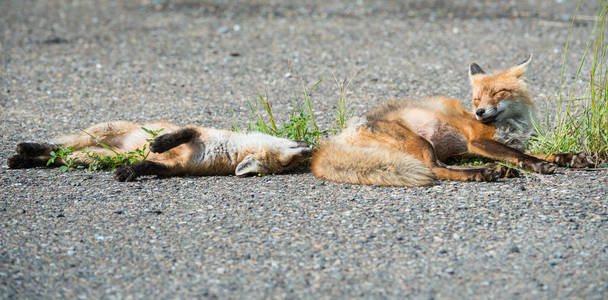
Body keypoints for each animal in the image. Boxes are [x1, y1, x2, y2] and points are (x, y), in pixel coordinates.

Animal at [312, 55, 592, 186]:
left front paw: (569, 158)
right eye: (476, 99)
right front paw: (540, 166)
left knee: (443, 166)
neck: (510, 123)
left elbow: (536, 152)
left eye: (498, 93)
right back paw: (484, 172)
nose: (480, 113)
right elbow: (521, 155)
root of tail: (337, 138)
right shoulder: (477, 142)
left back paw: (497, 170)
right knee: (435, 169)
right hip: (422, 143)